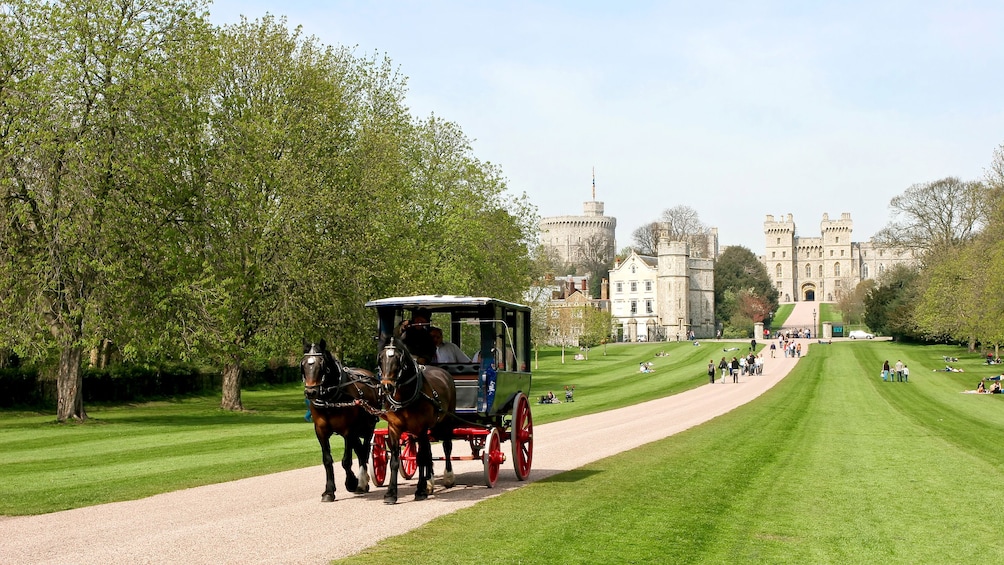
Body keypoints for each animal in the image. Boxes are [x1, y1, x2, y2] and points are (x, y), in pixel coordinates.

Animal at [299, 341, 381, 503]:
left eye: (322, 365)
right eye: (303, 364)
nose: (310, 392)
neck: (330, 399)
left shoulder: (348, 431)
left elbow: (346, 460)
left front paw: (352, 482)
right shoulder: (321, 431)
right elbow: (327, 460)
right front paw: (329, 491)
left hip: (368, 427)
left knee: (364, 451)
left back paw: (362, 481)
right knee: (360, 451)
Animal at [375, 335, 457, 503]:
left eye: (398, 359)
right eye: (381, 358)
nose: (387, 387)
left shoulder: (420, 428)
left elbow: (420, 458)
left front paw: (420, 490)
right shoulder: (394, 429)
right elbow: (395, 460)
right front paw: (391, 493)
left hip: (446, 421)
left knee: (446, 447)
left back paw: (448, 477)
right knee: (429, 451)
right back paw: (430, 482)